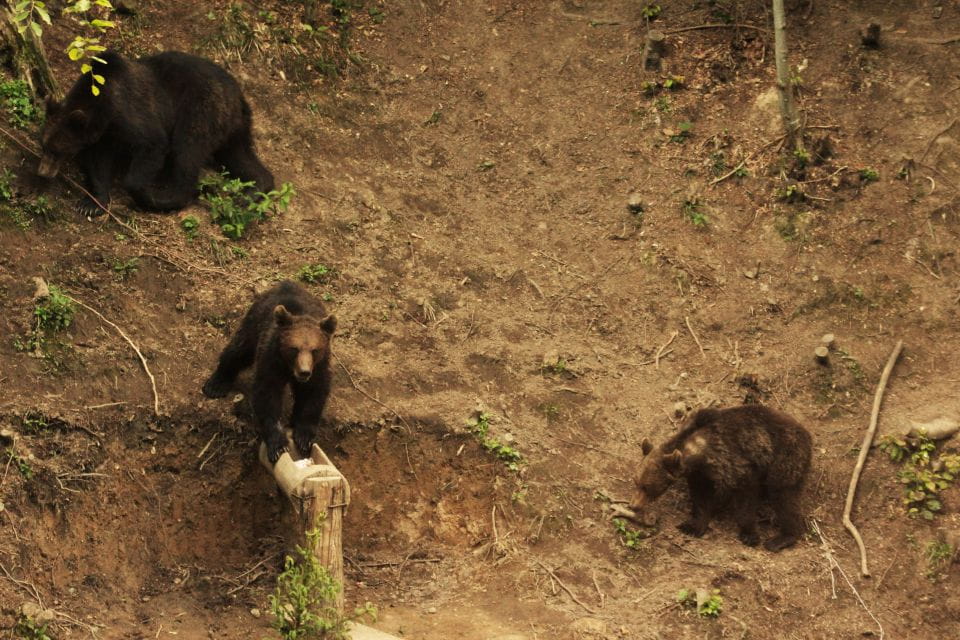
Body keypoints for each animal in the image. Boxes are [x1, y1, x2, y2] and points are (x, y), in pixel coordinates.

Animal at [38, 50, 273, 216]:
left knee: (187, 150)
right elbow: (99, 162)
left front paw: (141, 191)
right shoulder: (104, 134)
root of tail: (238, 95)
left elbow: (152, 143)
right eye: (44, 146)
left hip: (201, 109)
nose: (43, 172)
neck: (103, 105)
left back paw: (170, 196)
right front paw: (92, 203)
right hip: (233, 127)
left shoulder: (130, 113)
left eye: (57, 151)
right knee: (238, 156)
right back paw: (255, 188)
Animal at [202, 280, 336, 463]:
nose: (304, 372)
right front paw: (278, 445)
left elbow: (313, 394)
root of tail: (286, 283)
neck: (289, 368)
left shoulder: (319, 366)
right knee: (239, 349)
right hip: (255, 320)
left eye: (315, 350)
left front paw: (303, 437)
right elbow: (267, 394)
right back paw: (216, 384)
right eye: (294, 348)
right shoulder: (271, 359)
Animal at [628, 404, 812, 552]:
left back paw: (781, 538)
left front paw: (749, 534)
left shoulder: (735, 463)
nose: (633, 505)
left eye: (647, 487)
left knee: (784, 496)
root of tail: (807, 434)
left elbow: (746, 498)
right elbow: (701, 498)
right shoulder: (701, 474)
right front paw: (693, 526)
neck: (699, 453)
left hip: (786, 457)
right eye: (636, 481)